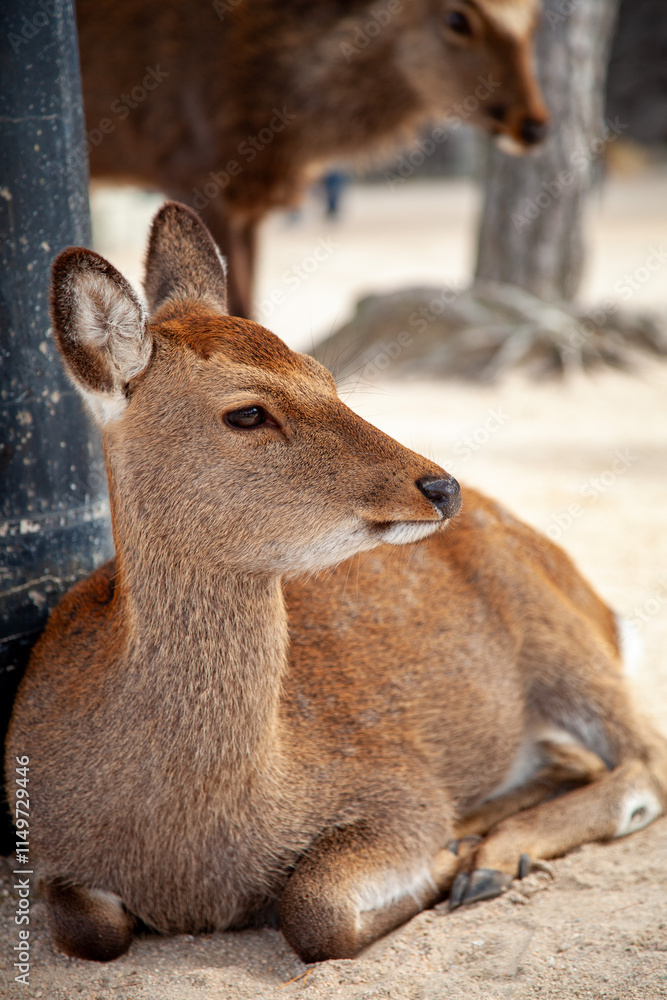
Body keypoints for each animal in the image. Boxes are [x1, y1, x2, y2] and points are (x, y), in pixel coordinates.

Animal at [6, 202, 666, 965]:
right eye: (247, 411)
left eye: (320, 369)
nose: (441, 486)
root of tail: (601, 606)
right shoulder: (46, 853)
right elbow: (91, 926)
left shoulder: (398, 785)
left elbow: (314, 907)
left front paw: (452, 852)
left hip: (558, 636)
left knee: (646, 759)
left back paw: (493, 855)